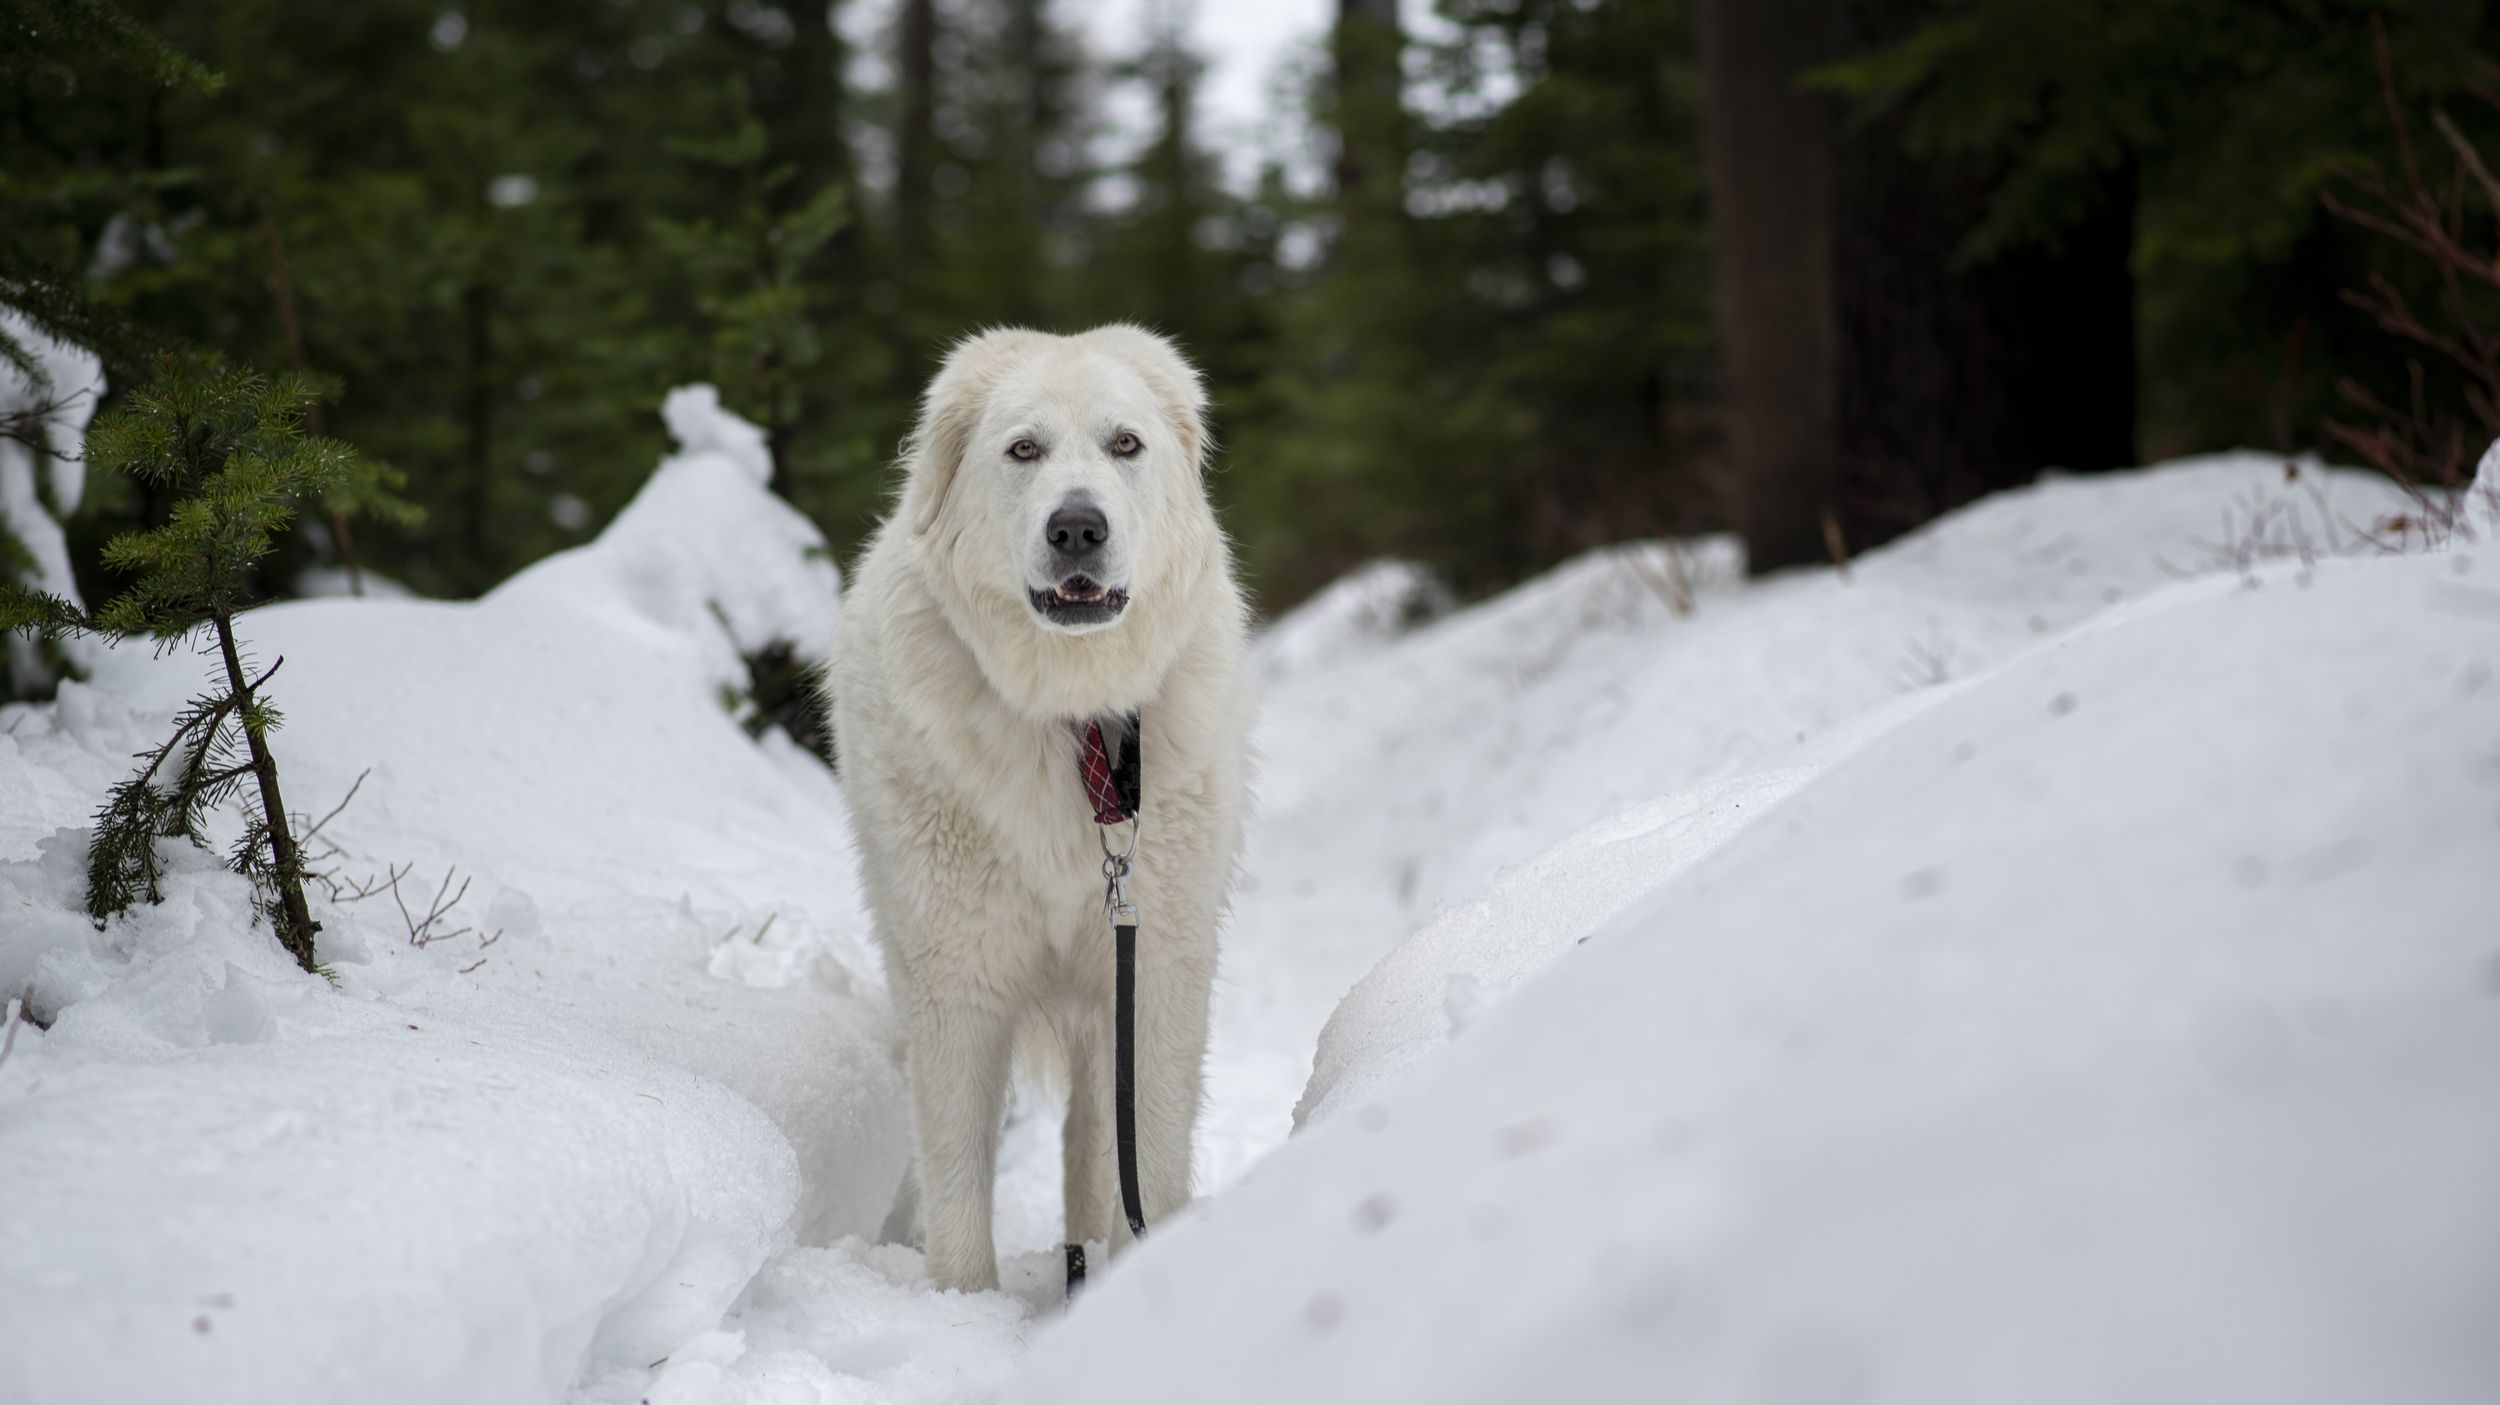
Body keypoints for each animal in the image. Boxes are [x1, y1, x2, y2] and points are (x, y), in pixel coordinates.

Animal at [830, 322, 1250, 1290]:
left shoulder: (1154, 967)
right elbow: (955, 1170)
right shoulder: (956, 975)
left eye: (1125, 444)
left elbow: (1148, 1153)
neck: (1072, 716)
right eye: (1023, 449)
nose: (1077, 527)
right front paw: (959, 1301)